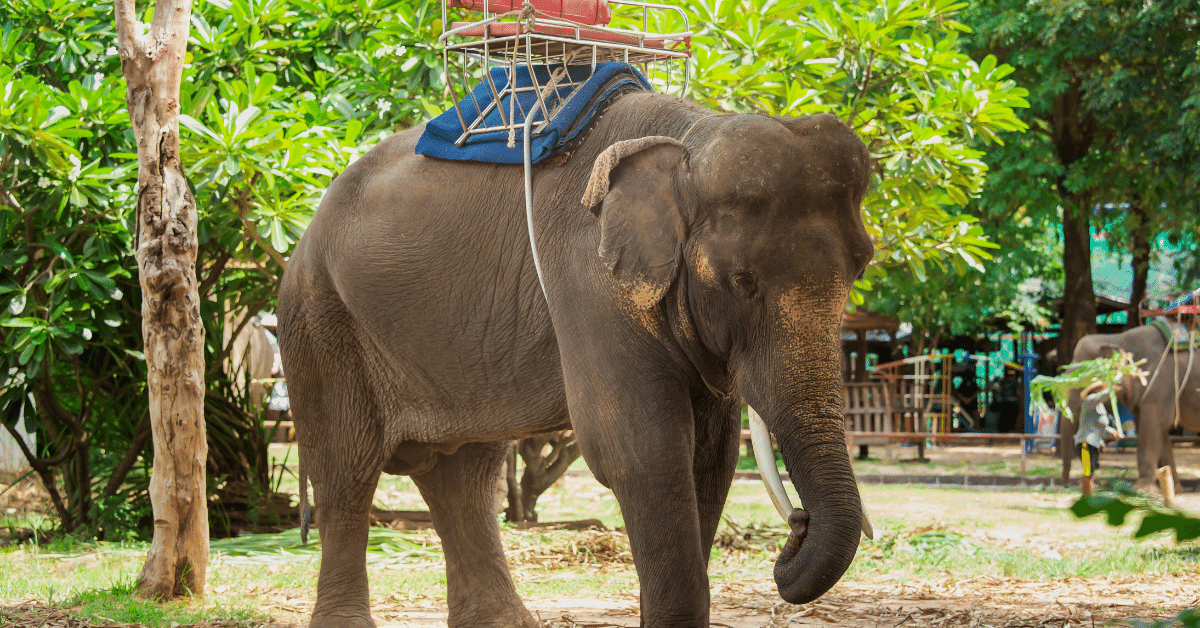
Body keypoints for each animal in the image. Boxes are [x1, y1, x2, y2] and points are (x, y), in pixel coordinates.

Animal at [278, 85, 883, 628]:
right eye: (742, 281)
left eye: (860, 269)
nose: (798, 525)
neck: (691, 136)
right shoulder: (588, 276)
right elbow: (641, 449)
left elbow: (709, 456)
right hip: (320, 319)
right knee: (347, 472)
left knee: (464, 475)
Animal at [1060, 324, 1200, 497]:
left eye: (1081, 380)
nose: (1068, 485)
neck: (1116, 337)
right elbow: (1159, 432)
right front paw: (1175, 490)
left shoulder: (1161, 385)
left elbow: (1152, 427)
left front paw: (1142, 490)